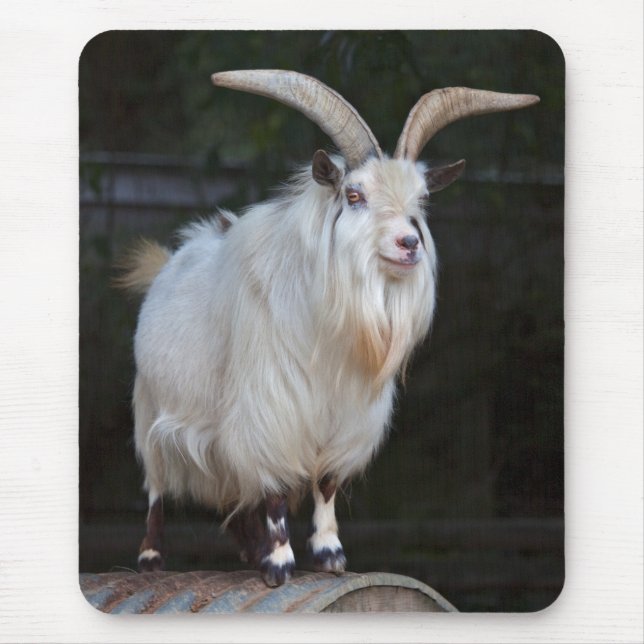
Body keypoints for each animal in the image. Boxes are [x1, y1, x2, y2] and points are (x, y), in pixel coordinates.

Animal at [118, 69, 538, 587]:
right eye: (354, 196)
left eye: (421, 200)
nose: (409, 243)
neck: (327, 332)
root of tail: (169, 260)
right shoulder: (271, 409)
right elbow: (276, 488)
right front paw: (280, 564)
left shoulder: (347, 417)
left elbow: (326, 483)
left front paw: (329, 555)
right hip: (151, 411)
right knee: (157, 486)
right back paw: (152, 558)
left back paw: (248, 550)